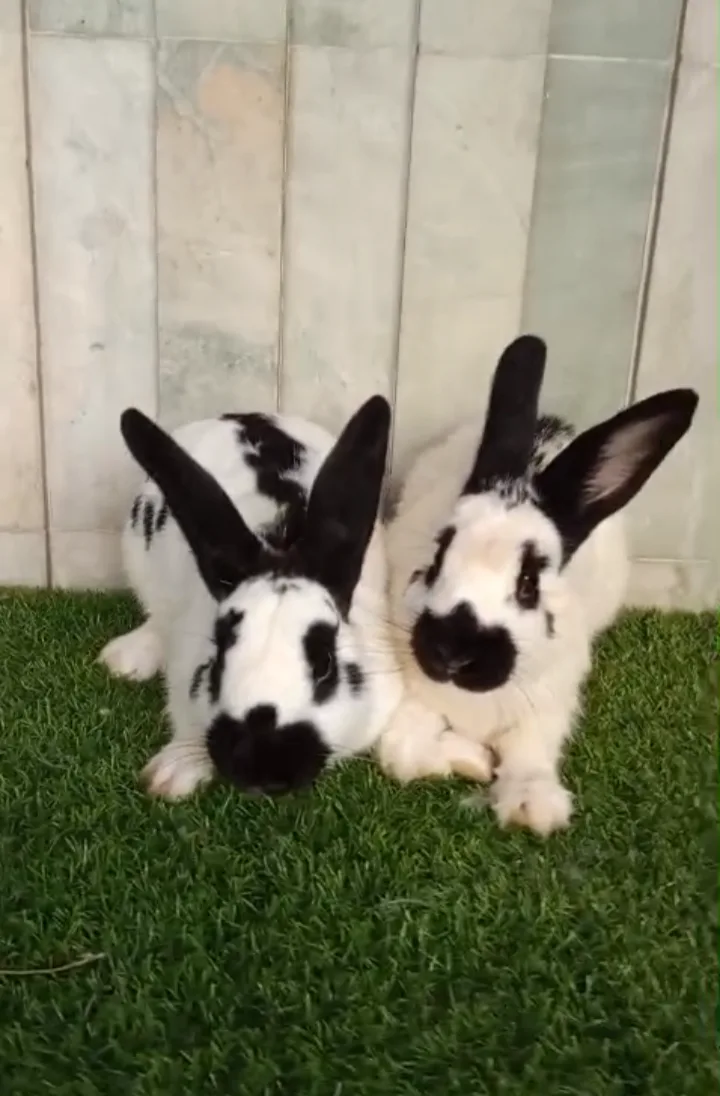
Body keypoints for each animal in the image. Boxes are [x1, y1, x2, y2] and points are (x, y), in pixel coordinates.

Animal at [99, 397, 403, 799]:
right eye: (218, 661)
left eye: (325, 665)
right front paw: (170, 775)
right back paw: (123, 660)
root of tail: (241, 415)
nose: (260, 768)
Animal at [376, 334, 698, 835]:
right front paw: (478, 763)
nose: (451, 653)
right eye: (438, 557)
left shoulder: (549, 703)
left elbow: (530, 752)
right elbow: (405, 754)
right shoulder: (411, 694)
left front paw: (532, 805)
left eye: (529, 583)